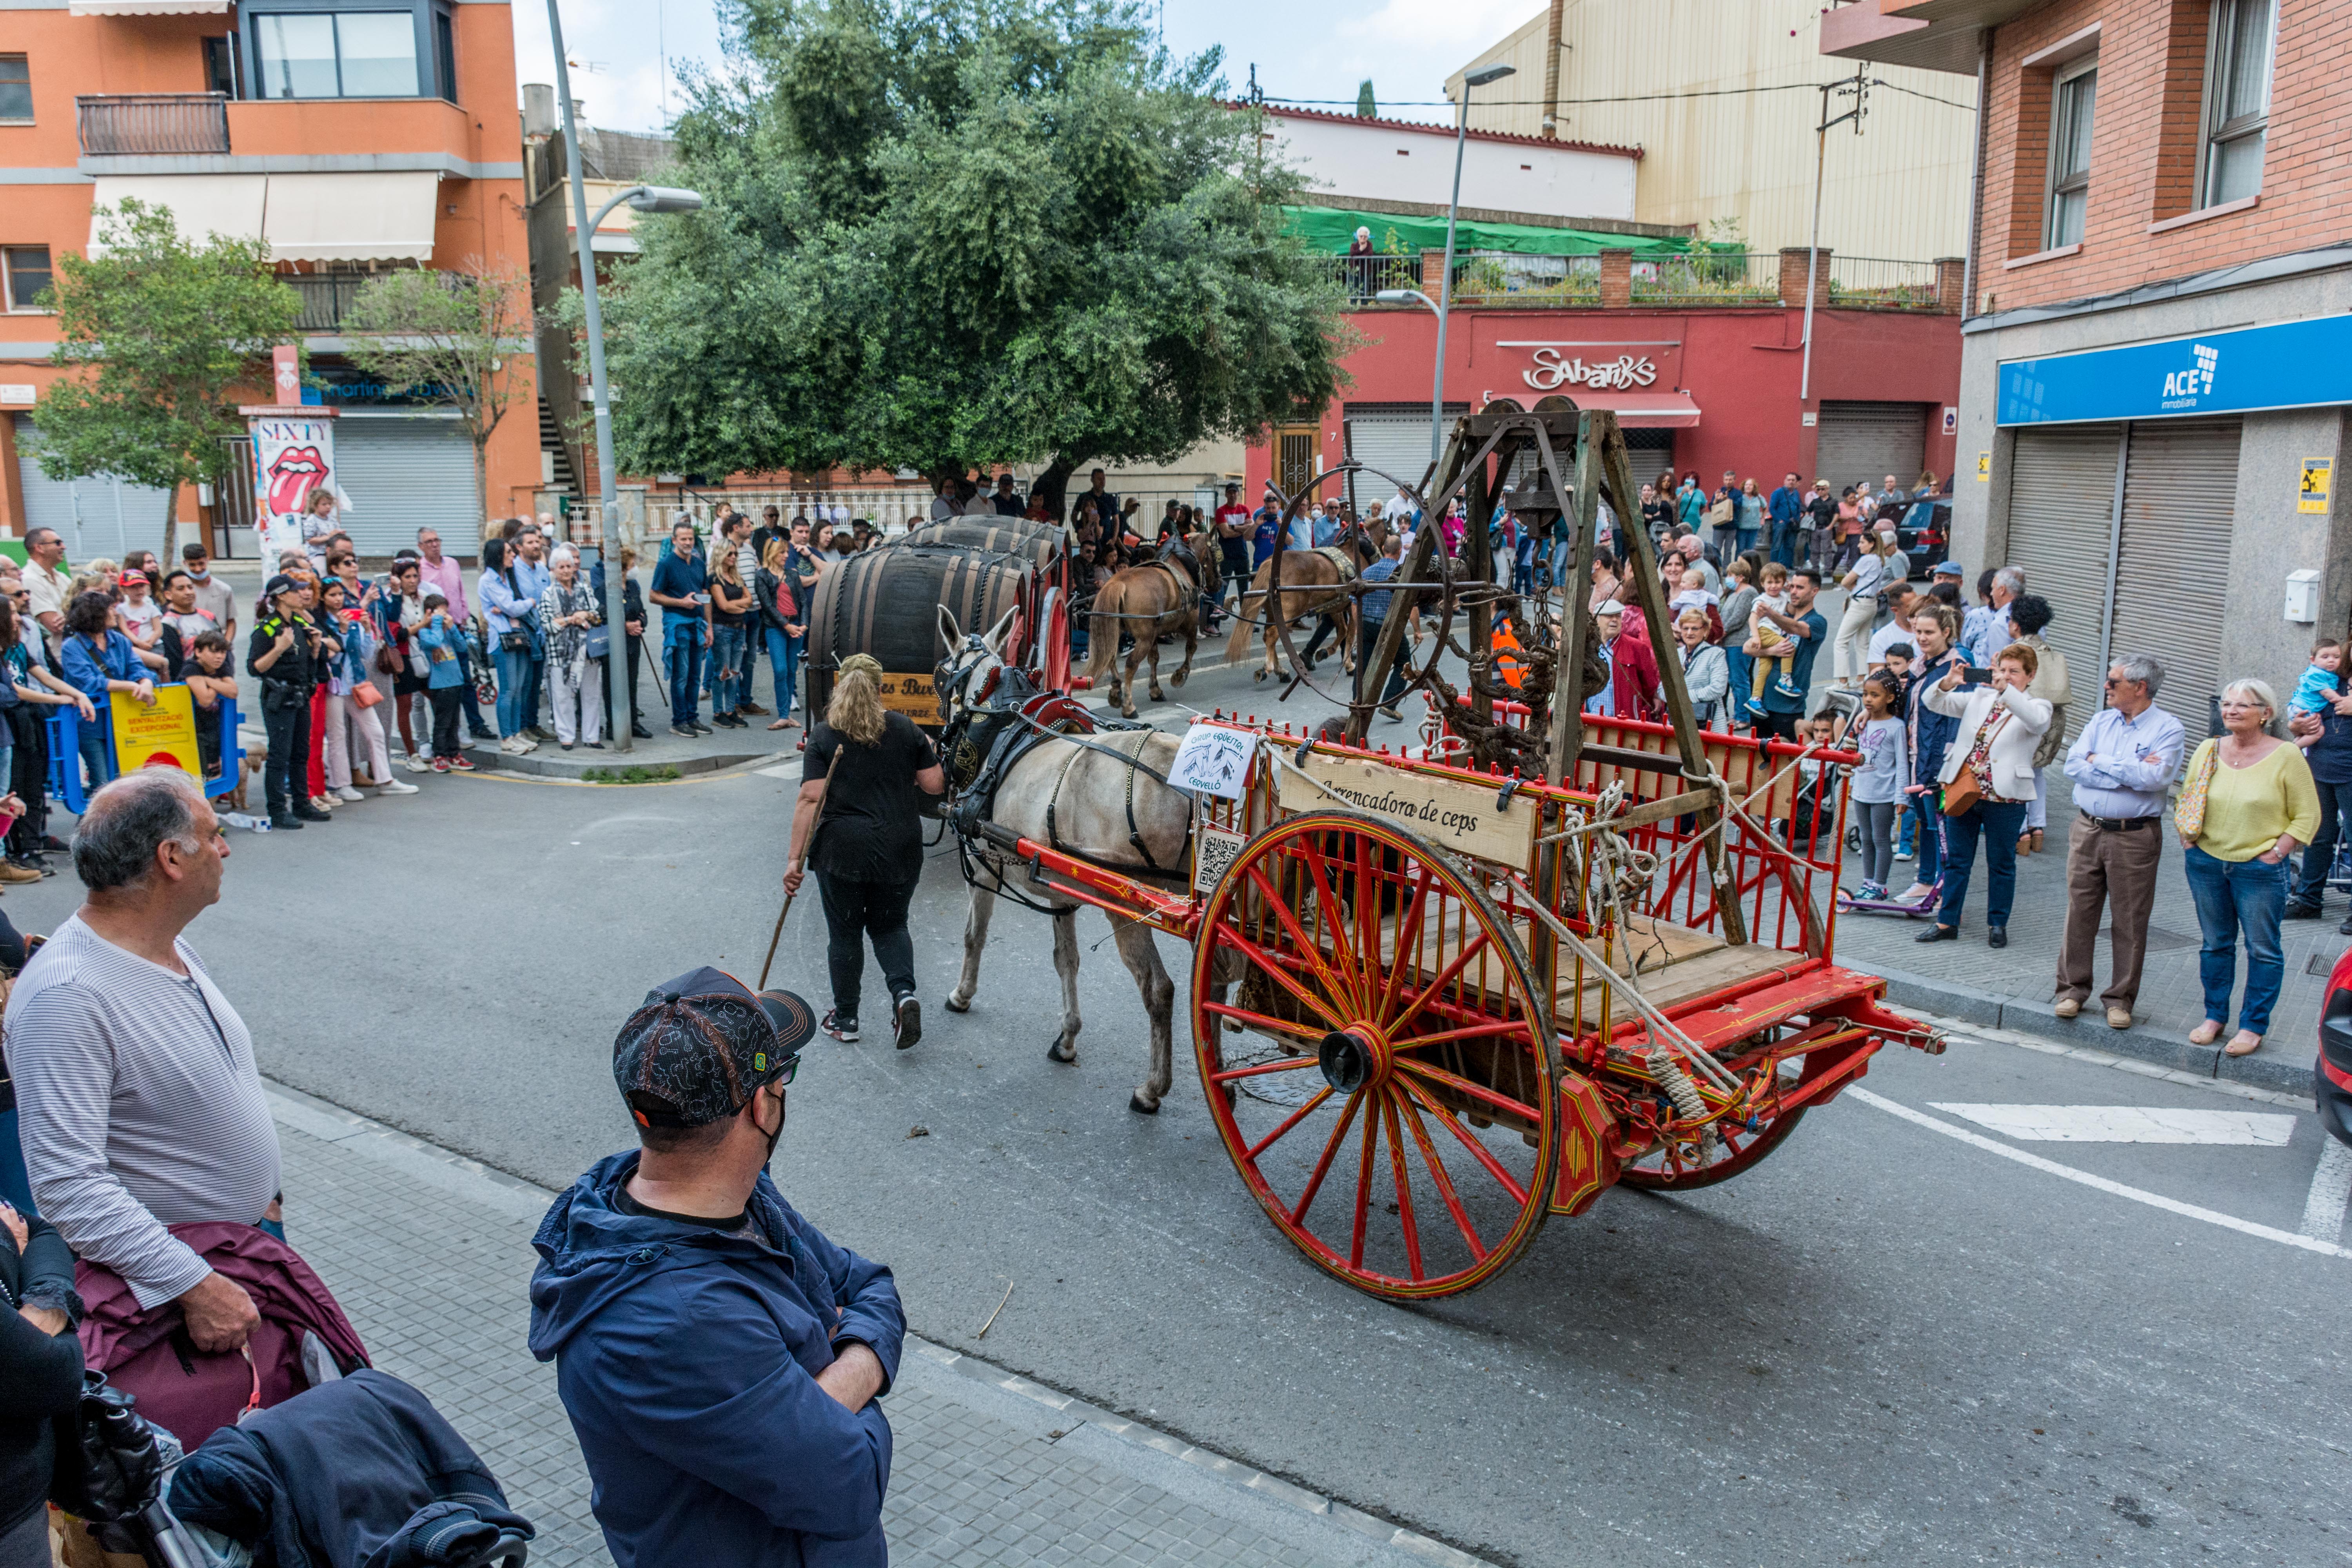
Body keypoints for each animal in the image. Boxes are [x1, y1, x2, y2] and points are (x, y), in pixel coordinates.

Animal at [1082, 531, 1223, 719]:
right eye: (1215, 556)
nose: (1219, 583)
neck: (1179, 559)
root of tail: (1119, 583)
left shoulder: (1156, 632)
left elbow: (1154, 659)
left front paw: (1155, 690)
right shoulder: (1191, 623)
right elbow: (1191, 648)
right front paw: (1180, 675)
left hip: (1116, 631)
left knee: (1111, 657)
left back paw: (1116, 691)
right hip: (1144, 639)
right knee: (1131, 664)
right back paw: (1129, 706)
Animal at [1223, 517, 1383, 682]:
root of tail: (1270, 565)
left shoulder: (1336, 607)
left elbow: (1343, 631)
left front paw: (1326, 652)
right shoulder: (1353, 605)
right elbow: (1351, 635)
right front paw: (1349, 665)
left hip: (1274, 613)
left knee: (1270, 634)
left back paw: (1282, 671)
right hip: (1289, 613)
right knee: (1272, 635)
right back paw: (1268, 668)